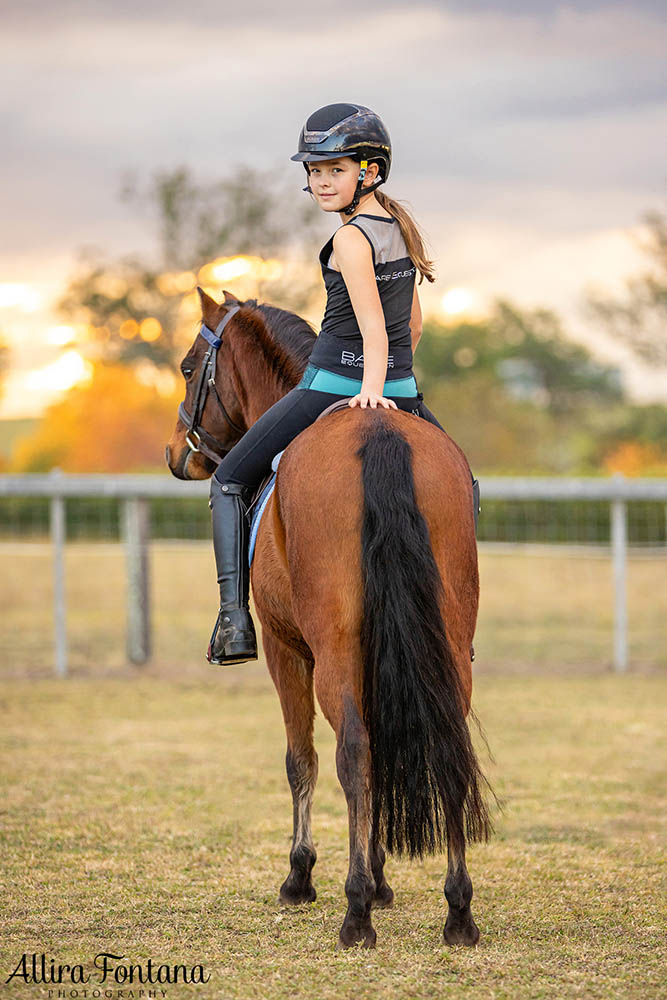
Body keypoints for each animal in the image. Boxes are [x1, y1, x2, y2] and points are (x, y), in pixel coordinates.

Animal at [167, 288, 490, 944]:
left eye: (188, 369)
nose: (177, 453)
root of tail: (377, 427)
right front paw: (384, 874)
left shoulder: (287, 650)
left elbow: (302, 761)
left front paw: (304, 875)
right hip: (445, 643)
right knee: (442, 744)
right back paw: (458, 911)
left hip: (333, 650)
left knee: (352, 752)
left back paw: (356, 909)